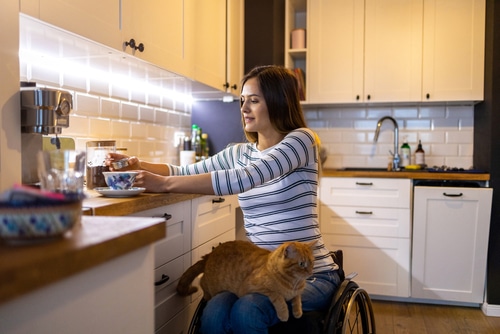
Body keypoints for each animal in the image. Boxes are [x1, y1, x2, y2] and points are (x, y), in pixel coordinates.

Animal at [178, 239, 314, 322]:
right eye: (301, 264)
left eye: (312, 262)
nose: (310, 272)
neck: (293, 283)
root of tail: (210, 254)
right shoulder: (252, 287)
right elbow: (278, 296)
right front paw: (284, 313)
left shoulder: (296, 292)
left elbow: (297, 298)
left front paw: (298, 311)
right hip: (210, 285)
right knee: (202, 283)